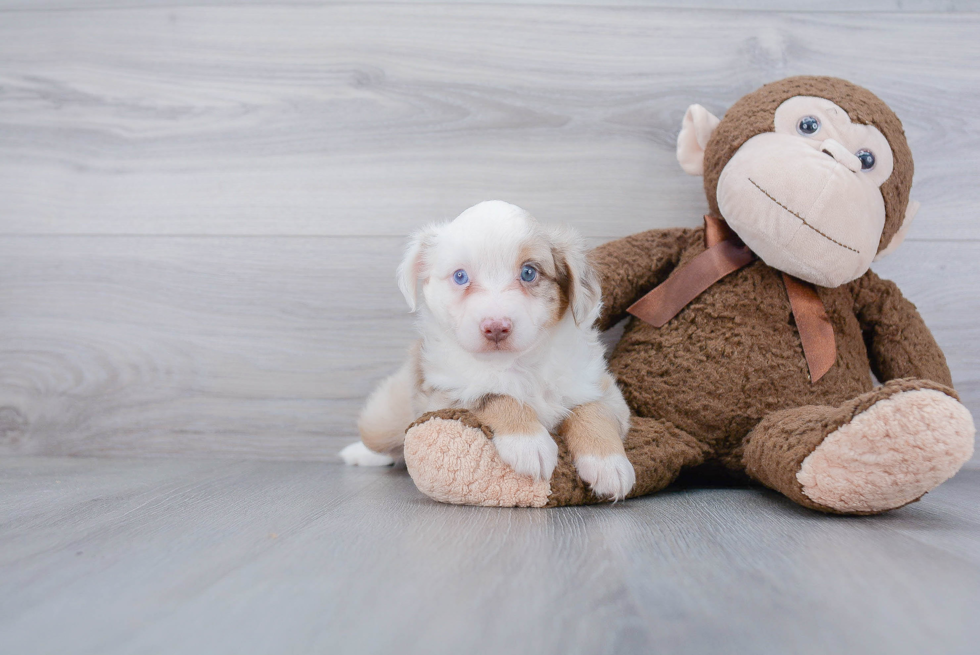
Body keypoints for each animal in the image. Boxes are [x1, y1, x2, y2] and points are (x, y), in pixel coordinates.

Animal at [344, 201, 636, 502]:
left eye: (528, 272)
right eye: (460, 276)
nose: (496, 327)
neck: (518, 363)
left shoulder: (601, 388)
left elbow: (593, 409)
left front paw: (609, 464)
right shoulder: (443, 395)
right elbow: (494, 394)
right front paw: (528, 442)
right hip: (382, 419)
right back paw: (359, 454)